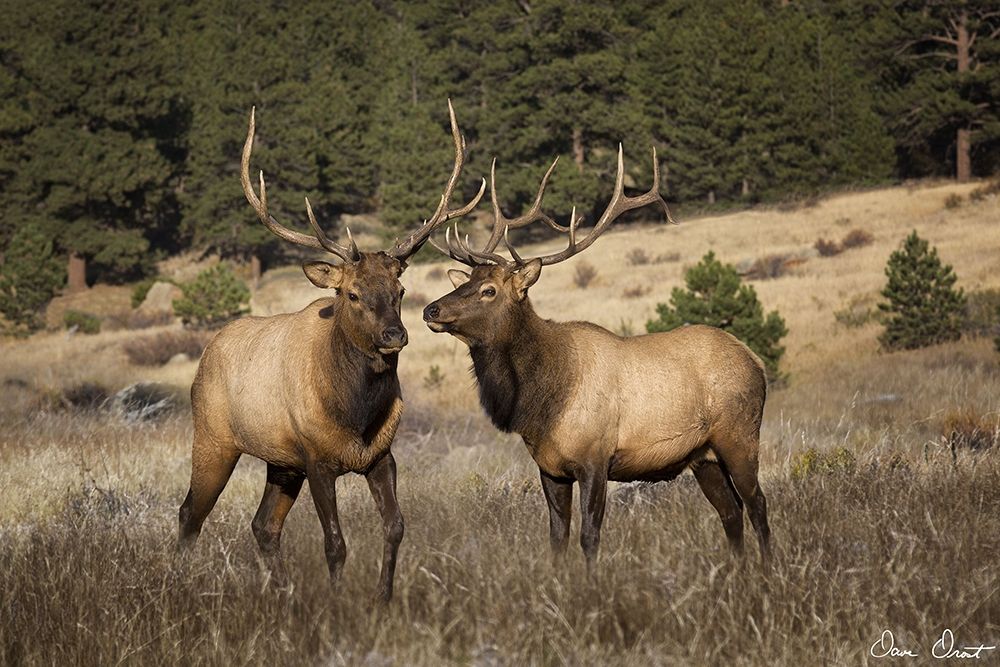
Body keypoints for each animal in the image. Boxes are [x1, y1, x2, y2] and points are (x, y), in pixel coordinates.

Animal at [177, 101, 485, 603]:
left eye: (400, 290)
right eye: (352, 294)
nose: (394, 336)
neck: (355, 414)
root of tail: (207, 353)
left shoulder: (380, 456)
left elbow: (396, 527)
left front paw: (383, 598)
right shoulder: (317, 459)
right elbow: (335, 543)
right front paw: (338, 602)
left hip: (280, 462)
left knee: (263, 526)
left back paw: (282, 594)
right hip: (214, 437)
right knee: (190, 514)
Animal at [421, 147, 772, 572]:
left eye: (488, 290)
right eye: (466, 282)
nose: (431, 309)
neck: (539, 403)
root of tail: (756, 360)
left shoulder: (595, 457)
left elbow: (590, 536)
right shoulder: (549, 467)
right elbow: (557, 537)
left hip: (740, 436)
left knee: (758, 505)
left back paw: (769, 572)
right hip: (702, 456)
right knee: (730, 512)